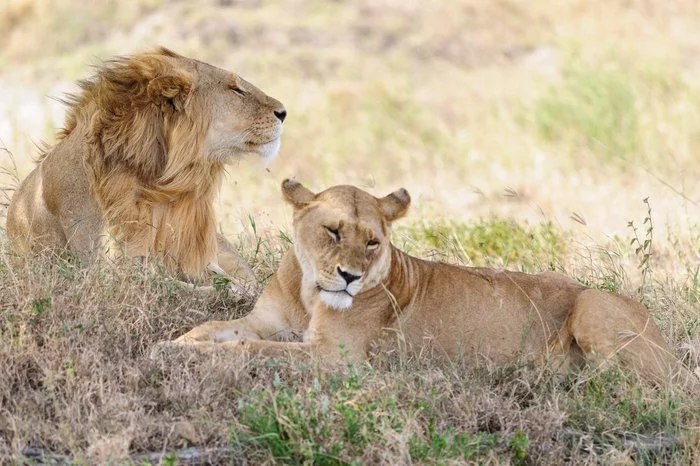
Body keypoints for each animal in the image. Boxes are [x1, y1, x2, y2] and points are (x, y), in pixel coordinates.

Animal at [6, 47, 286, 282]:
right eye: (235, 90)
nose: (284, 113)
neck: (163, 183)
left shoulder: (199, 260)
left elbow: (233, 285)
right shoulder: (112, 273)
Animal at [161, 180, 696, 392]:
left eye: (373, 242)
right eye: (332, 231)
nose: (350, 277)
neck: (310, 293)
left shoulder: (336, 359)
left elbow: (250, 350)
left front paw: (196, 357)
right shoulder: (264, 320)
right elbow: (216, 328)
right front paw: (174, 346)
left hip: (593, 306)